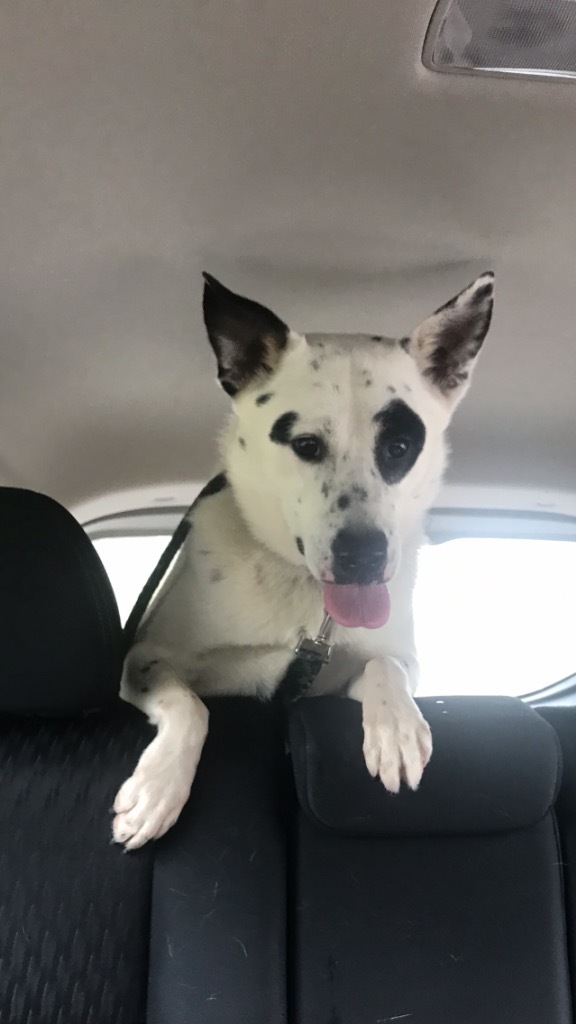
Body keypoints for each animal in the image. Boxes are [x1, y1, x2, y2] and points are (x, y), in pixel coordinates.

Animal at [112, 270, 494, 847]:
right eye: (306, 445)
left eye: (400, 447)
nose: (363, 558)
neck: (304, 602)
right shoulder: (145, 660)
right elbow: (191, 707)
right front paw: (158, 788)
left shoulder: (370, 668)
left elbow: (386, 665)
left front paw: (397, 728)